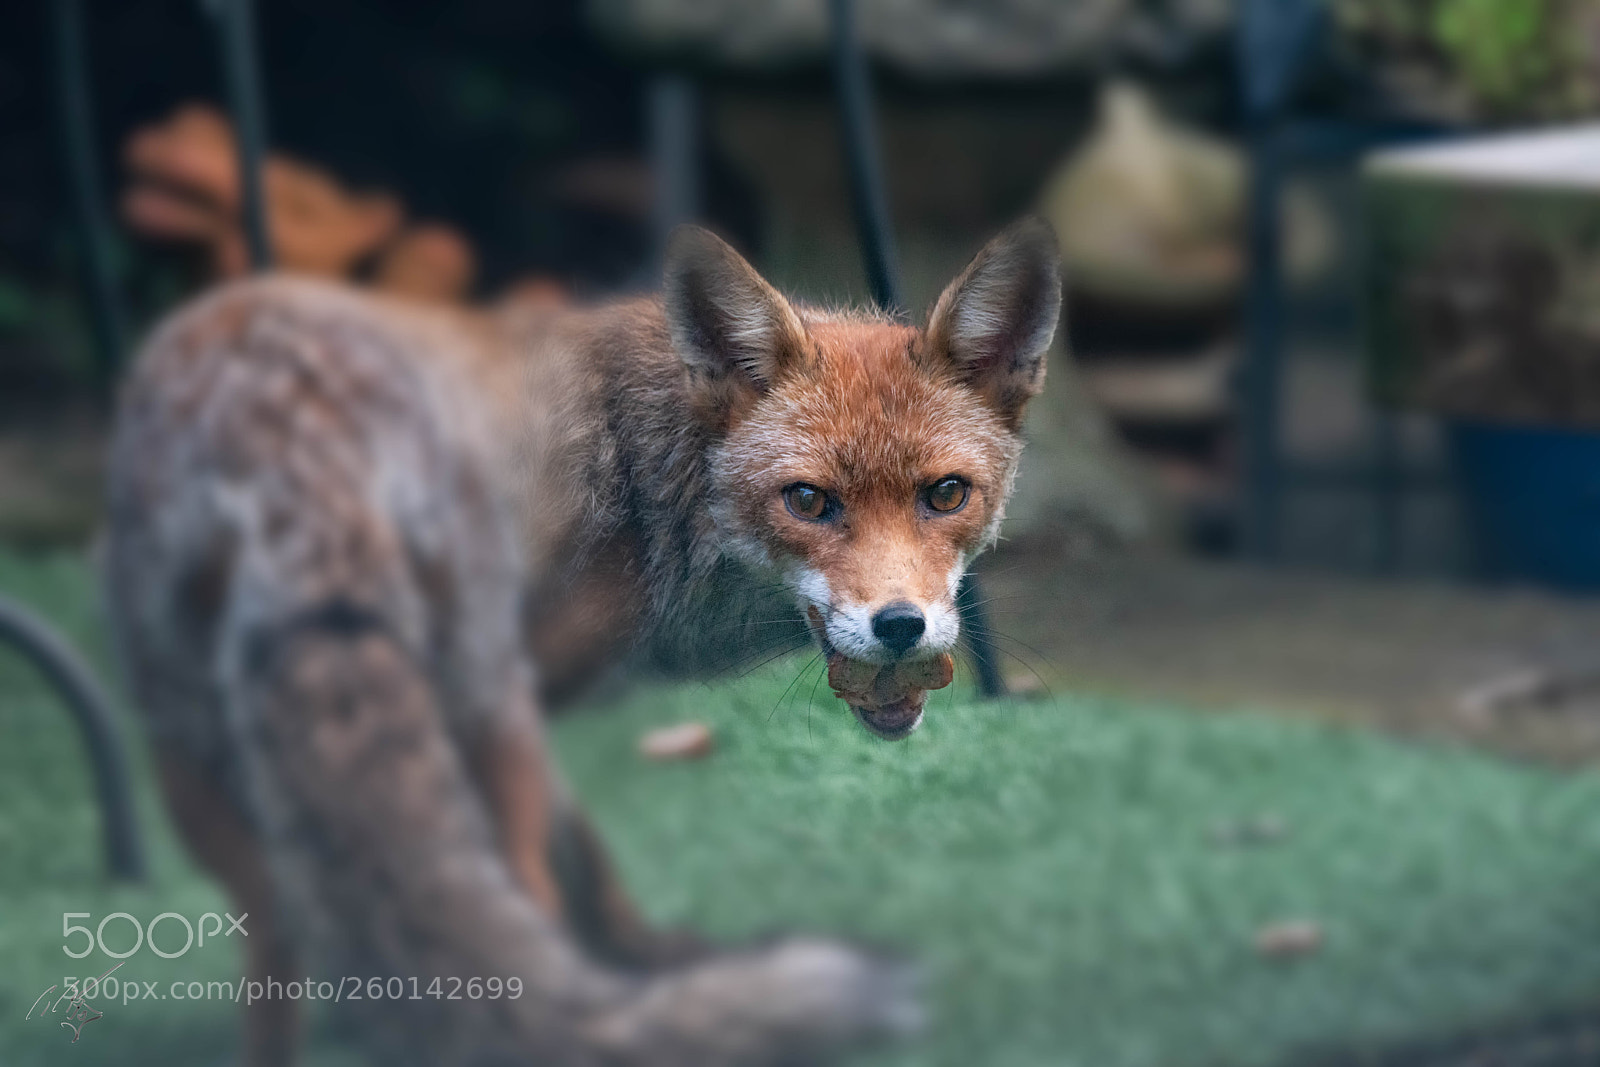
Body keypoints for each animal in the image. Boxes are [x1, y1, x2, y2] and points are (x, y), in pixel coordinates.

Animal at [103, 217, 1062, 1066]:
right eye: (808, 501)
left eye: (946, 493)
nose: (900, 625)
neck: (648, 483)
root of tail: (275, 415)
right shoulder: (519, 700)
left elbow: (575, 861)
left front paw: (643, 968)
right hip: (474, 713)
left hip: (197, 757)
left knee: (274, 941)